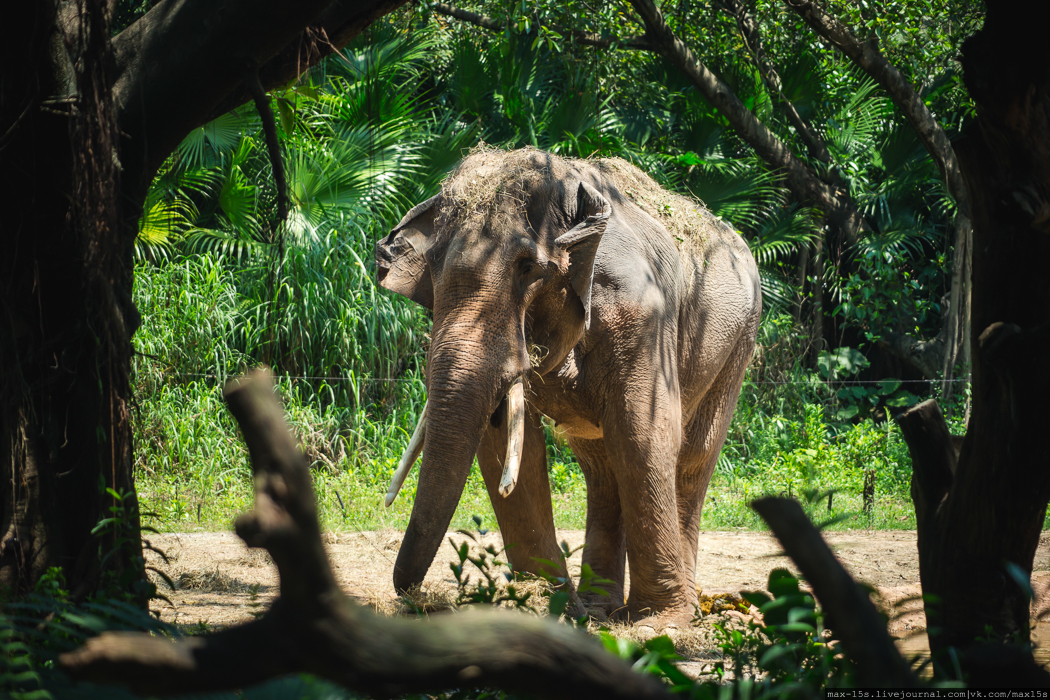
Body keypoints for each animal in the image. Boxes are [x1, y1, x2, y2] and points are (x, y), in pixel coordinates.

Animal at [377, 147, 764, 629]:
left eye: (527, 268)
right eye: (432, 274)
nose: (418, 599)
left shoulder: (644, 314)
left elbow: (644, 431)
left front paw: (658, 624)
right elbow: (507, 443)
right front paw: (551, 609)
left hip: (739, 340)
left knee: (691, 458)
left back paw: (681, 612)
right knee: (601, 466)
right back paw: (599, 609)